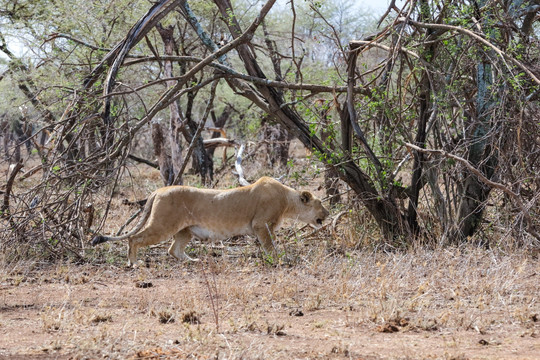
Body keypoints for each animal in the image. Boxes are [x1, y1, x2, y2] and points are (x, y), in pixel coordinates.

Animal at [92, 176, 330, 266]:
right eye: (320, 204)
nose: (328, 214)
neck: (287, 200)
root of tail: (159, 190)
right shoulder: (261, 224)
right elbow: (271, 246)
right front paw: (279, 259)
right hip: (163, 224)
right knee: (134, 239)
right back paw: (134, 262)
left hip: (185, 230)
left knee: (173, 250)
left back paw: (193, 260)